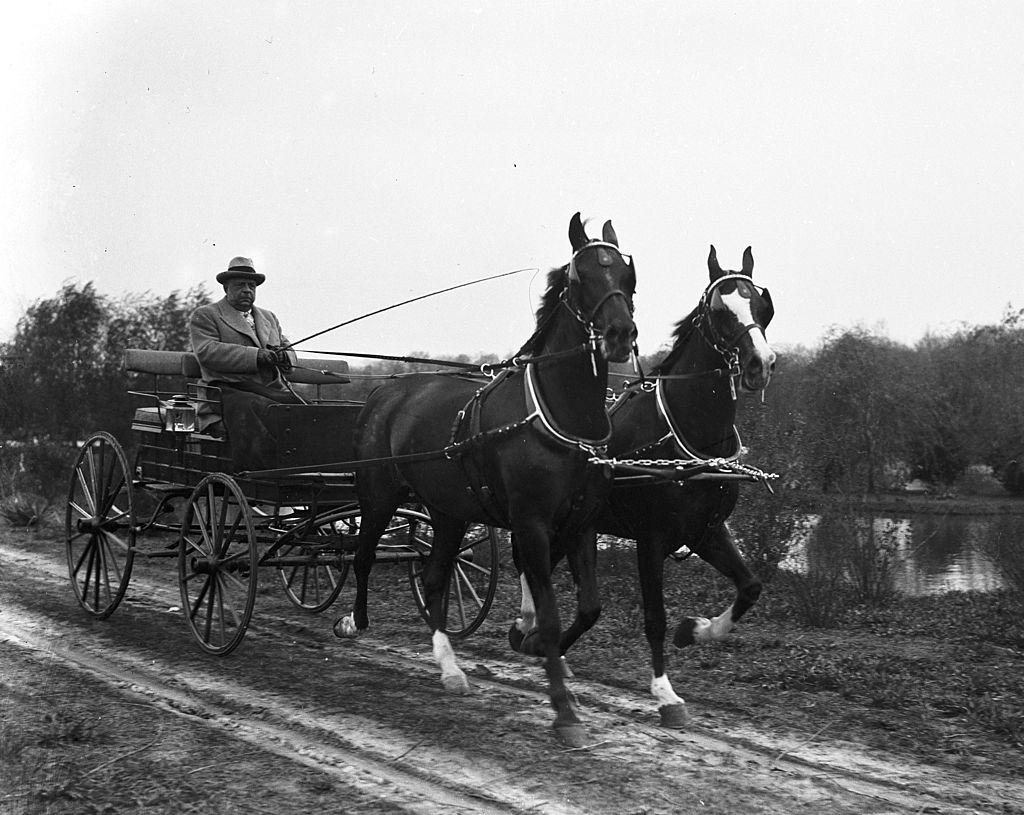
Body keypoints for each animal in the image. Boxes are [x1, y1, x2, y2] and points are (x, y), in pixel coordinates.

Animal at [335, 211, 634, 745]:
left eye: (626, 272)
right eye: (581, 276)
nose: (621, 333)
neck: (562, 414)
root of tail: (384, 393)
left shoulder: (581, 524)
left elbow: (589, 607)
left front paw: (532, 646)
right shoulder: (531, 525)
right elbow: (552, 614)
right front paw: (563, 709)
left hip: (447, 513)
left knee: (434, 577)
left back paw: (449, 667)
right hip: (378, 497)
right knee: (364, 554)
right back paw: (356, 619)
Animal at [520, 241, 774, 724]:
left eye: (762, 306)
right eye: (720, 311)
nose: (760, 364)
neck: (689, 434)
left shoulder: (705, 531)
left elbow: (750, 587)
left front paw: (694, 631)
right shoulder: (652, 538)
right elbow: (654, 615)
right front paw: (664, 691)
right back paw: (529, 629)